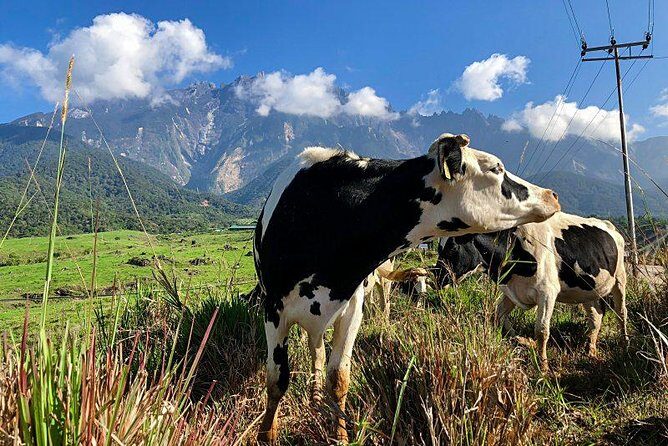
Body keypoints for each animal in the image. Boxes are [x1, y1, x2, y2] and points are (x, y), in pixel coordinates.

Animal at [253, 133, 560, 442]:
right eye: (497, 168)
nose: (552, 194)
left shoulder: (352, 308)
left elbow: (338, 378)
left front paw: (340, 435)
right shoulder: (273, 310)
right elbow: (277, 379)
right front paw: (266, 434)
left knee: (319, 347)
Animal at [436, 211, 628, 371]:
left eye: (452, 247)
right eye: (438, 247)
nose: (437, 277)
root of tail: (609, 226)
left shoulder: (547, 292)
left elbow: (542, 330)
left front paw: (542, 365)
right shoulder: (512, 290)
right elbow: (499, 317)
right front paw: (521, 341)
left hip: (620, 280)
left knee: (621, 313)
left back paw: (624, 344)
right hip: (588, 290)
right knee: (596, 317)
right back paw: (591, 350)